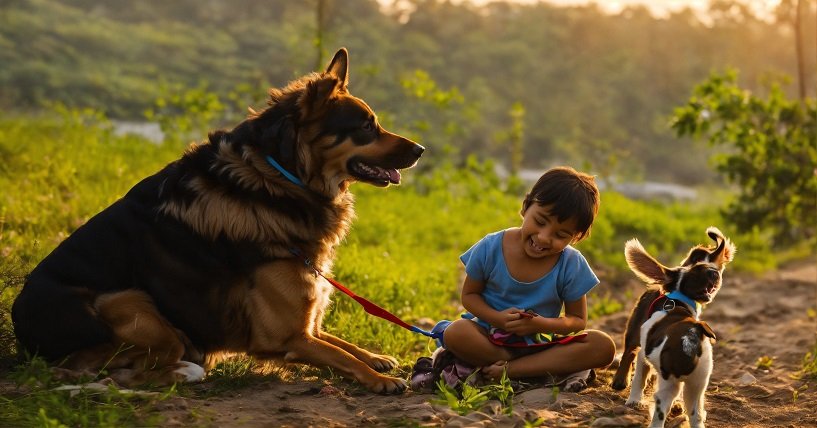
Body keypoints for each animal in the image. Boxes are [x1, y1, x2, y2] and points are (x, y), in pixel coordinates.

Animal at [11, 48, 420, 392]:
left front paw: (375, 358)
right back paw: (184, 370)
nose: (421, 149)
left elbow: (341, 342)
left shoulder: (307, 325)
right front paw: (378, 378)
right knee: (120, 372)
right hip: (128, 301)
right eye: (365, 126)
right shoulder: (288, 337)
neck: (278, 177)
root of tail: (23, 337)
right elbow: (339, 354)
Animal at [608, 227, 736, 428]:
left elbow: (641, 376)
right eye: (699, 268)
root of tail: (688, 344)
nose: (715, 272)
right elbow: (639, 374)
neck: (676, 300)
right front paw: (634, 399)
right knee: (629, 354)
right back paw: (620, 381)